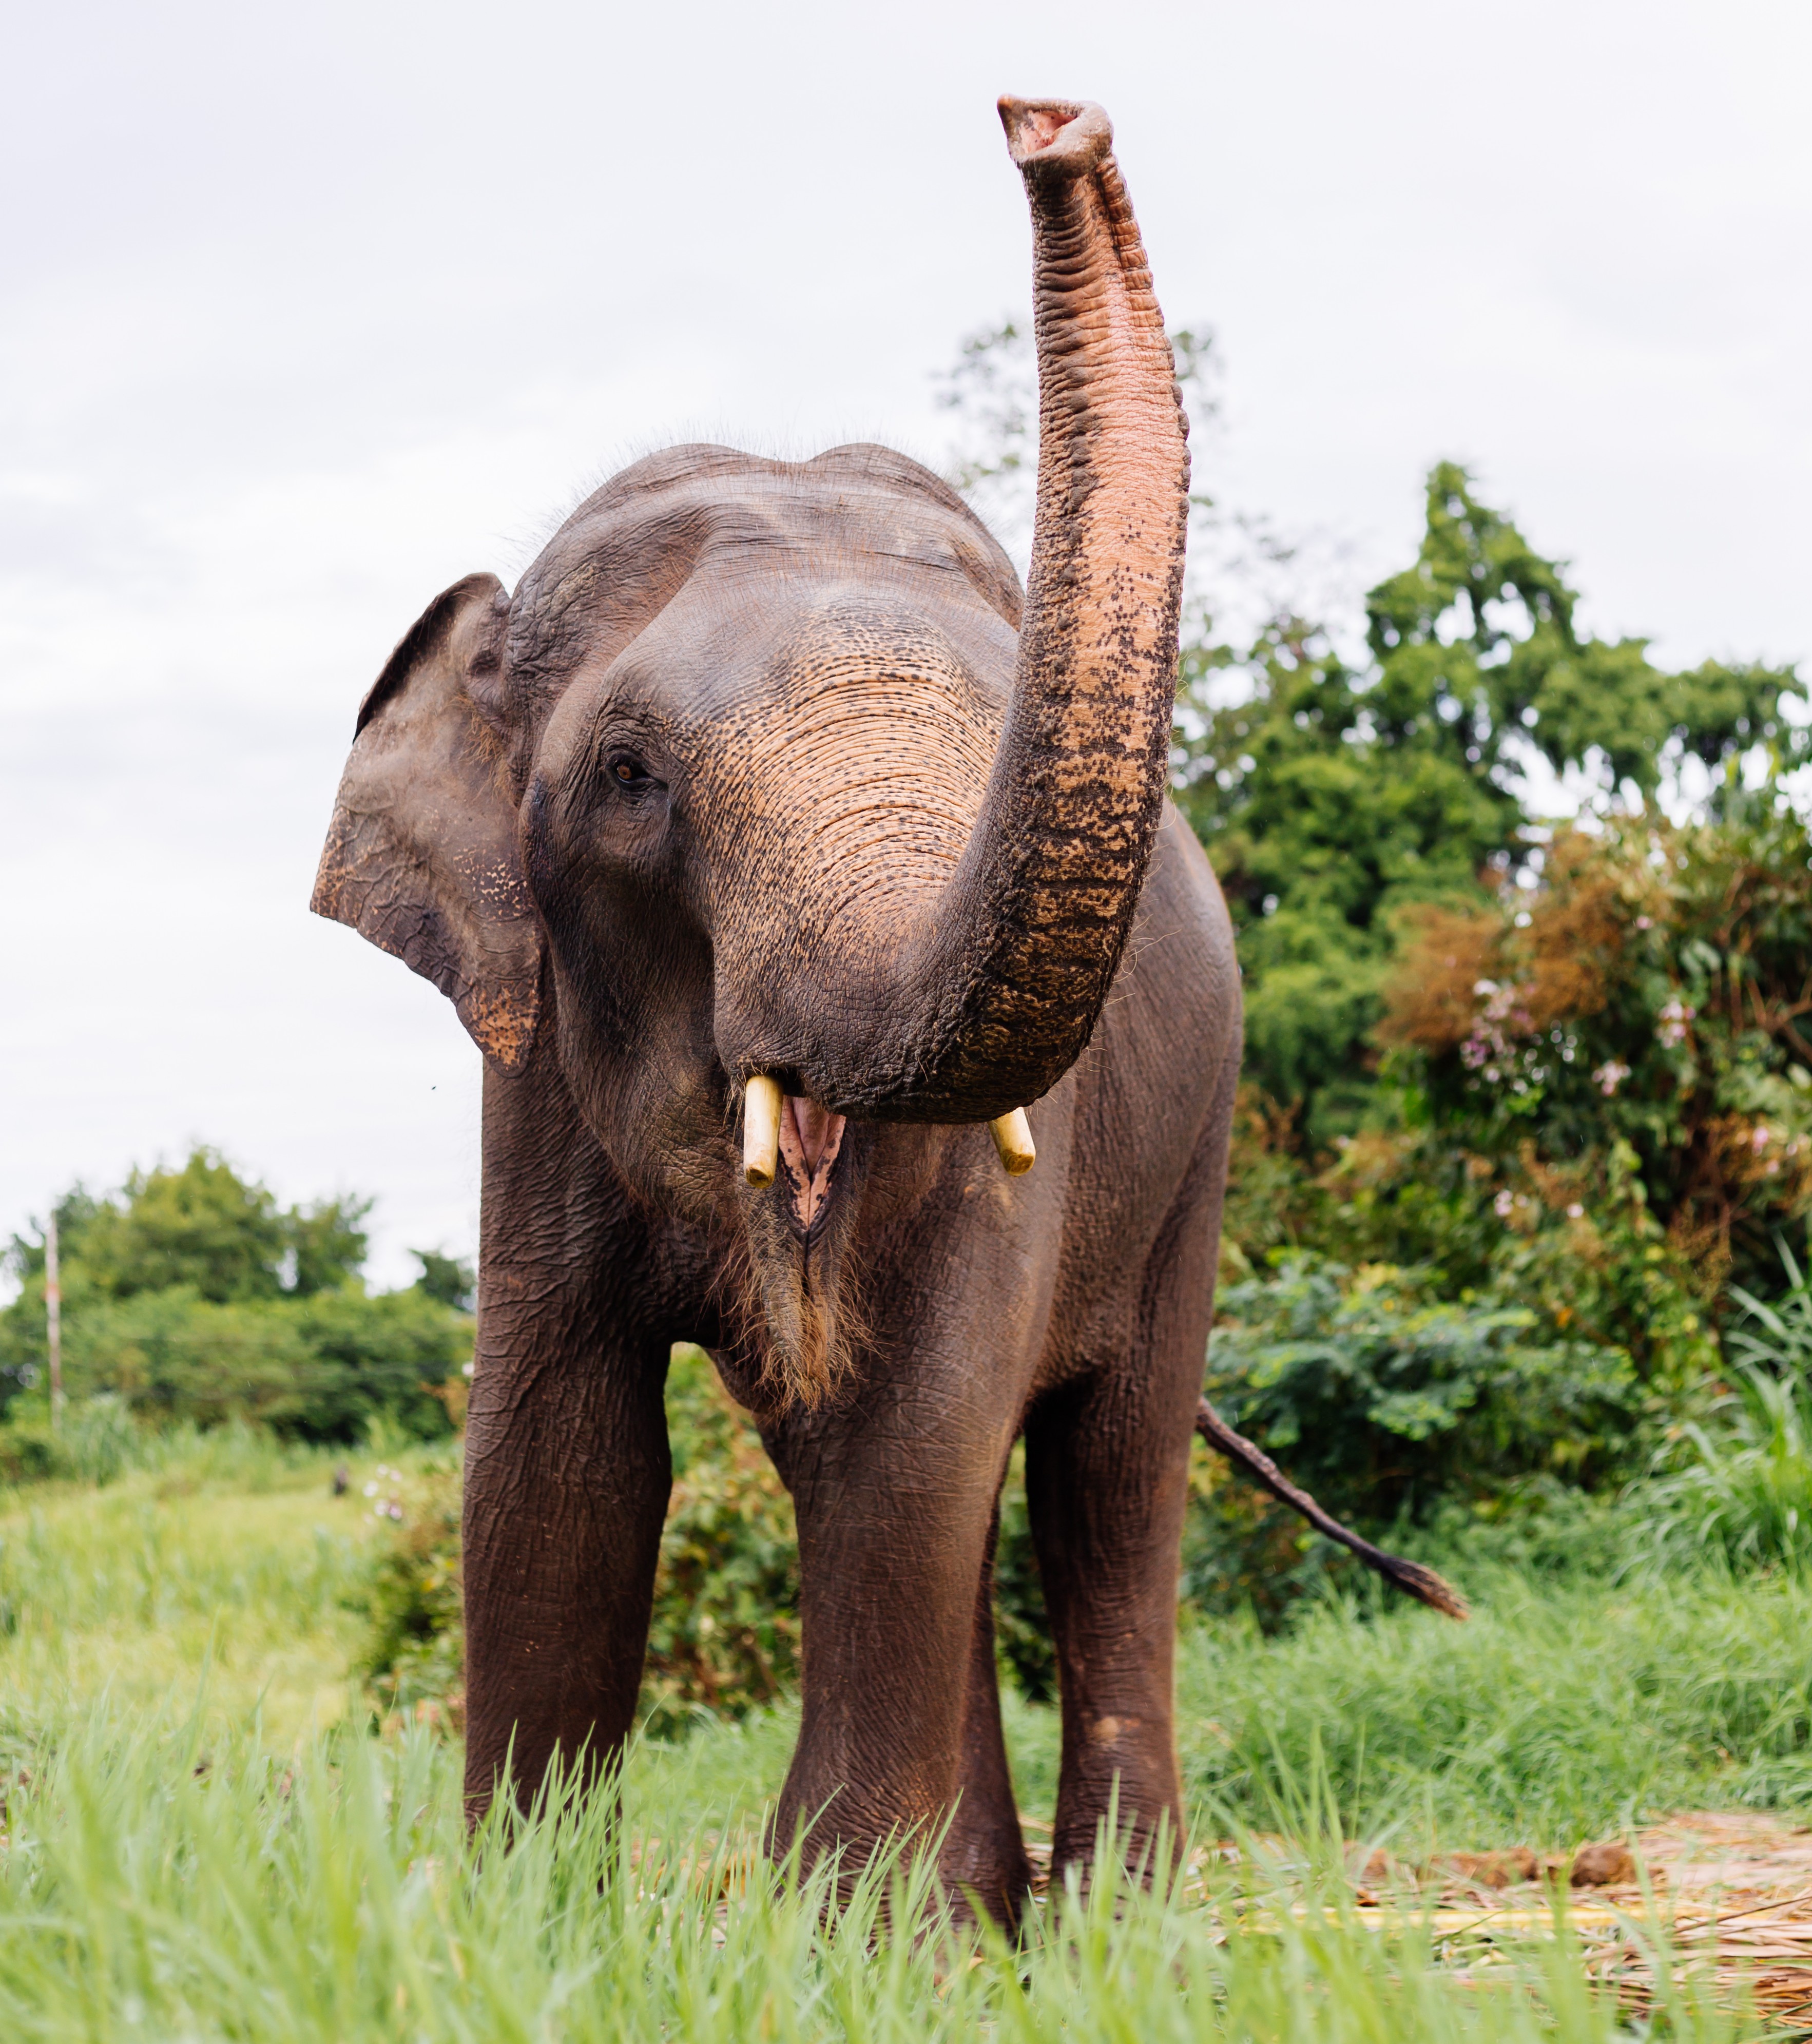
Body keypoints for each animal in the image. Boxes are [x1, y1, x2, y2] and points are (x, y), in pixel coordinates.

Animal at [313, 95, 1238, 1922]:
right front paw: (528, 1924)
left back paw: (1126, 1923)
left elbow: (920, 1424)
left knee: (1109, 1472)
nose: (1048, 122)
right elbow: (556, 1451)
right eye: (628, 776)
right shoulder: (526, 1072)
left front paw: (862, 1941)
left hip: (1199, 1151)